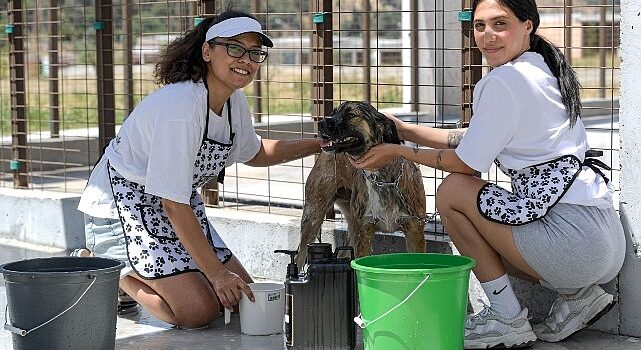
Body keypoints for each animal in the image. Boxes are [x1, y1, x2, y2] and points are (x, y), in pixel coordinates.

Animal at [298, 101, 428, 266]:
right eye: (333, 113)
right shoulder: (363, 233)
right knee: (299, 257)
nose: (320, 124)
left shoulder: (414, 231)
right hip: (313, 217)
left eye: (351, 115)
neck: (381, 179)